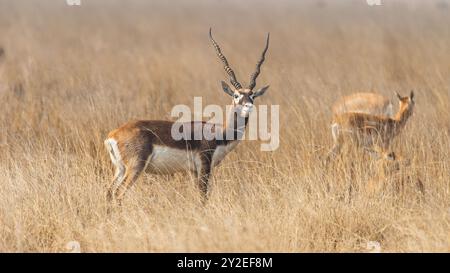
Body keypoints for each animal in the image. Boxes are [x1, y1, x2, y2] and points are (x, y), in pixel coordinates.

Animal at [103, 28, 268, 202]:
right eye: (236, 95)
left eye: (253, 96)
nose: (248, 106)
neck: (220, 133)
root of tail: (113, 135)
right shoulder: (204, 166)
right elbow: (203, 197)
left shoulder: (194, 171)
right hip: (135, 167)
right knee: (118, 194)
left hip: (120, 169)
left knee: (109, 193)